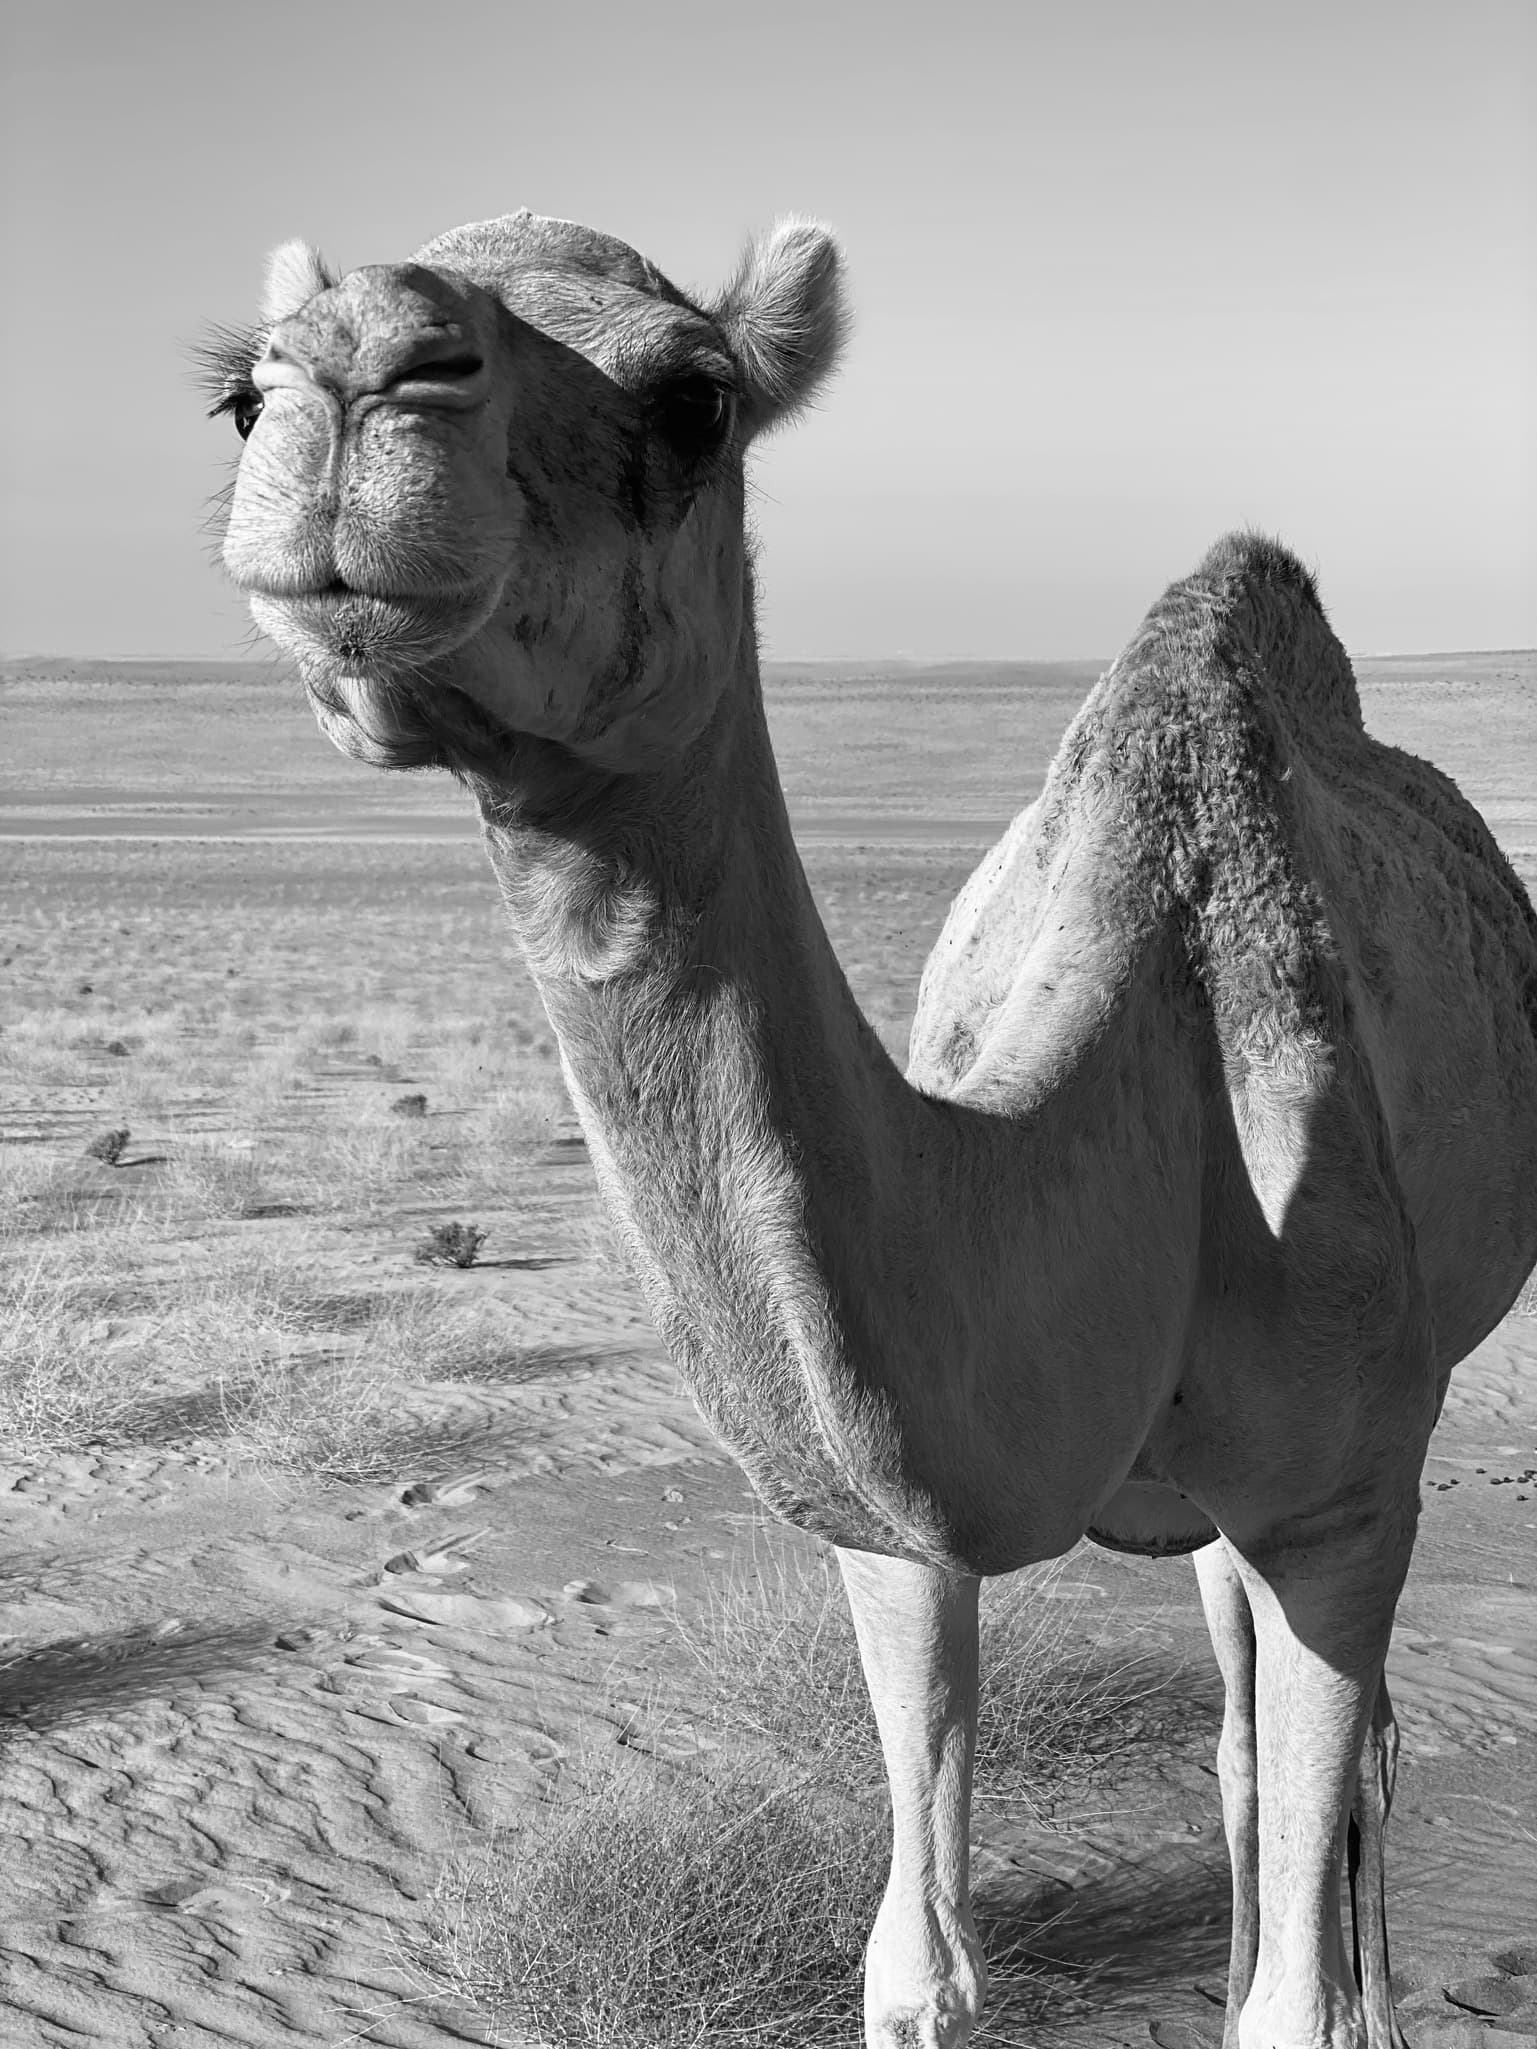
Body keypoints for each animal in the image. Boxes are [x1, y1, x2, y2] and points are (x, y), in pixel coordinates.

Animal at [204, 208, 1537, 2049]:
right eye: (233, 396)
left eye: (695, 397)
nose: (347, 374)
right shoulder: (897, 1525)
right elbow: (917, 1956)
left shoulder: (1342, 1495)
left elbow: (1308, 1937)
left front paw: (1331, 1993)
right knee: (1240, 1744)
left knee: (1355, 1767)